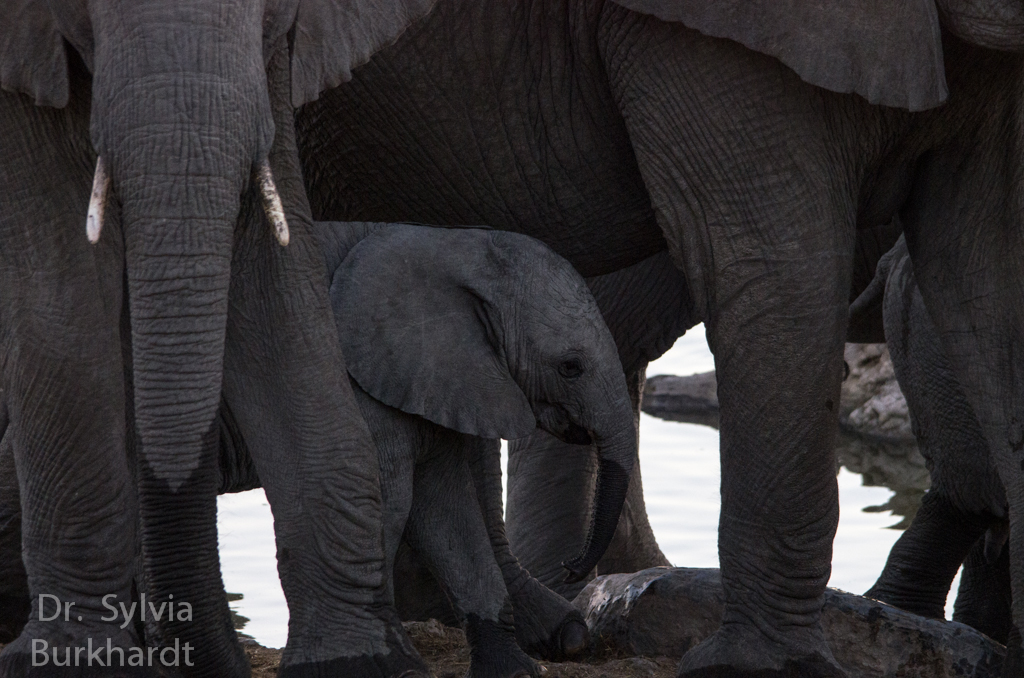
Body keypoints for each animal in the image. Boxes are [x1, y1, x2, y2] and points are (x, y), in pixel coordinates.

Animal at [323, 224, 634, 678]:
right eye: (570, 367)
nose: (571, 566)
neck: (448, 243)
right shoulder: (361, 382)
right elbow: (388, 503)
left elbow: (441, 507)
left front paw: (516, 670)